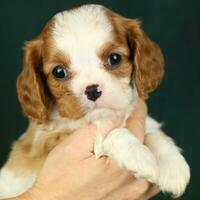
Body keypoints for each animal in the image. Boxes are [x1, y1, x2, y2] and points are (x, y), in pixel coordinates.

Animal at [0, 4, 190, 198]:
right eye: (59, 72)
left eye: (114, 59)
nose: (92, 90)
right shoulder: (47, 143)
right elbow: (109, 135)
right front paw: (139, 155)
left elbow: (152, 130)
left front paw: (173, 166)